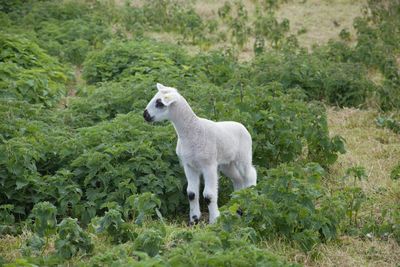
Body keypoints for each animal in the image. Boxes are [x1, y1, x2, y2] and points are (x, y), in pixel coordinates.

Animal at [144, 83, 256, 224]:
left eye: (159, 103)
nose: (145, 115)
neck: (192, 131)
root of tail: (242, 125)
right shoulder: (189, 165)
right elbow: (191, 193)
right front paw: (194, 220)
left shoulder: (209, 165)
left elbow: (209, 195)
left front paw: (214, 221)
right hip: (227, 164)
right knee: (238, 179)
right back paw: (238, 207)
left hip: (244, 156)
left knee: (250, 175)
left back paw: (250, 201)